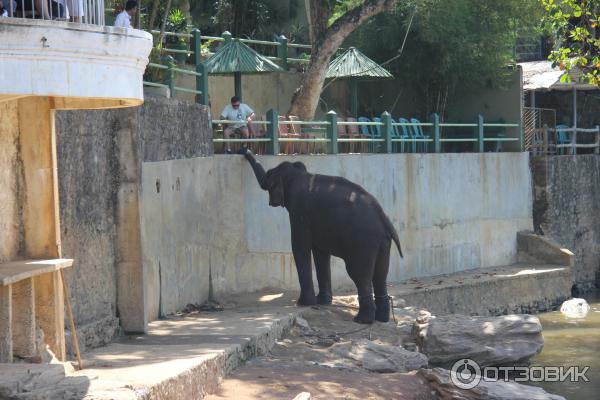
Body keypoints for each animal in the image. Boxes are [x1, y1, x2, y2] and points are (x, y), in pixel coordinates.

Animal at [240, 148, 404, 324]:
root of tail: (384, 218)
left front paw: (303, 303)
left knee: (359, 273)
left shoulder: (300, 211)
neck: (299, 174)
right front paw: (322, 302)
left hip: (363, 242)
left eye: (269, 181)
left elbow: (300, 247)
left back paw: (362, 319)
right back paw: (382, 318)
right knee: (381, 274)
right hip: (382, 242)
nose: (243, 149)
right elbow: (320, 253)